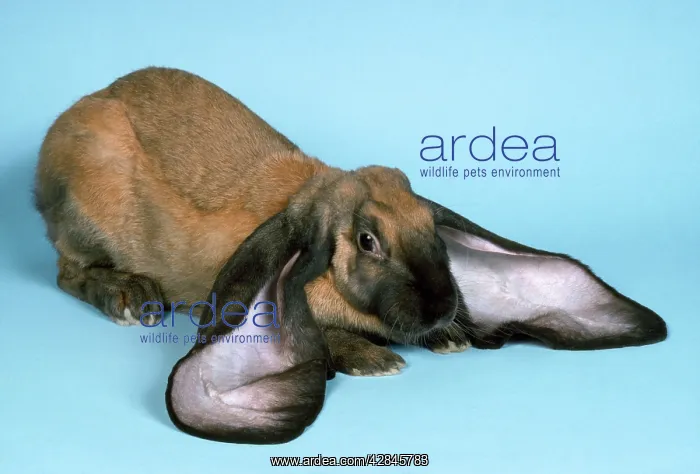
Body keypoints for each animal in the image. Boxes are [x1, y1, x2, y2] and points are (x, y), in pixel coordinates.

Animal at [33, 66, 667, 444]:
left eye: (432, 228)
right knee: (67, 272)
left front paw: (448, 336)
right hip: (86, 218)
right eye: (368, 241)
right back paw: (132, 299)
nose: (442, 307)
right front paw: (373, 359)